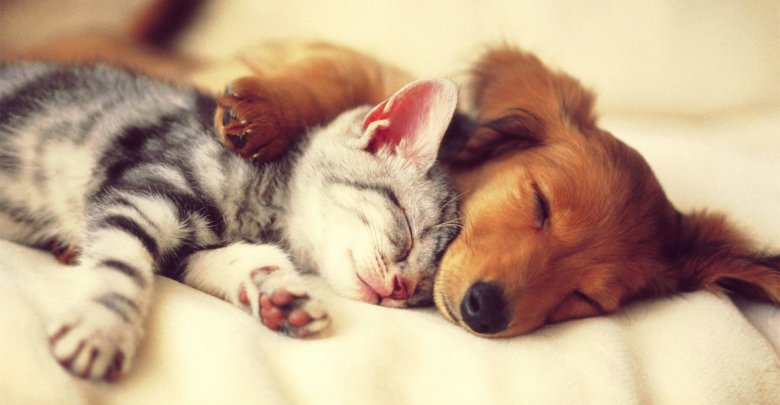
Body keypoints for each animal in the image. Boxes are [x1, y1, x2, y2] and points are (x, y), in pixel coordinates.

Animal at [0, 63, 460, 381]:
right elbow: (121, 265)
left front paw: (279, 294)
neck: (264, 208)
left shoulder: (187, 247)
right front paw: (103, 324)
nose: (401, 288)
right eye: (407, 231)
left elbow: (241, 259)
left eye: (422, 289)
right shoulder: (140, 194)